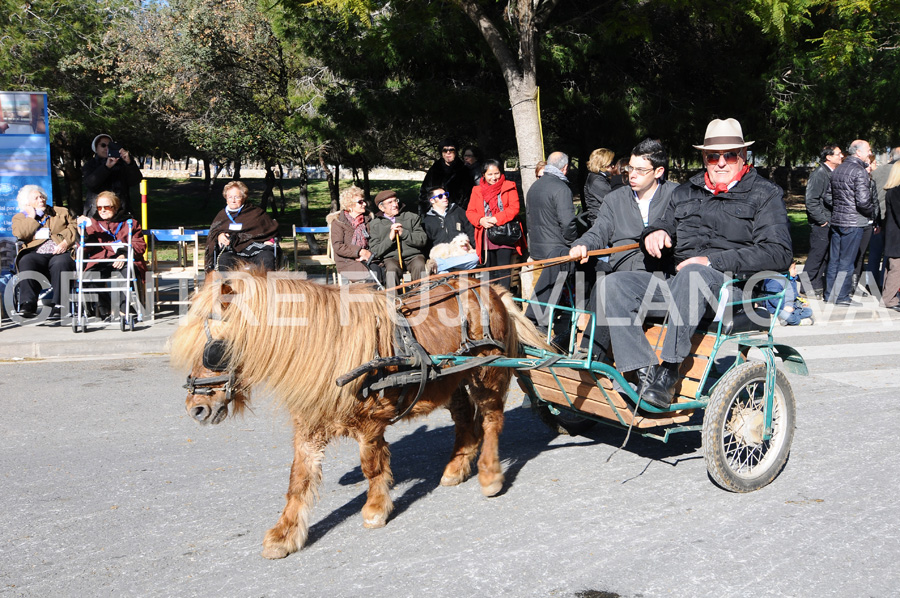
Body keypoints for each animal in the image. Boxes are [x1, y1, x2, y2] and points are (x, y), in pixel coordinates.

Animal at [171, 272, 548, 564]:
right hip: (450, 378)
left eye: (215, 351)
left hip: (487, 372)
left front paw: (376, 508)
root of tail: (490, 289)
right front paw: (285, 534)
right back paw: (457, 466)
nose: (196, 408)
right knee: (463, 417)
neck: (328, 349)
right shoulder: (309, 427)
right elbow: (299, 480)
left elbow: (372, 466)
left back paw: (489, 473)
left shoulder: (369, 424)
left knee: (491, 420)